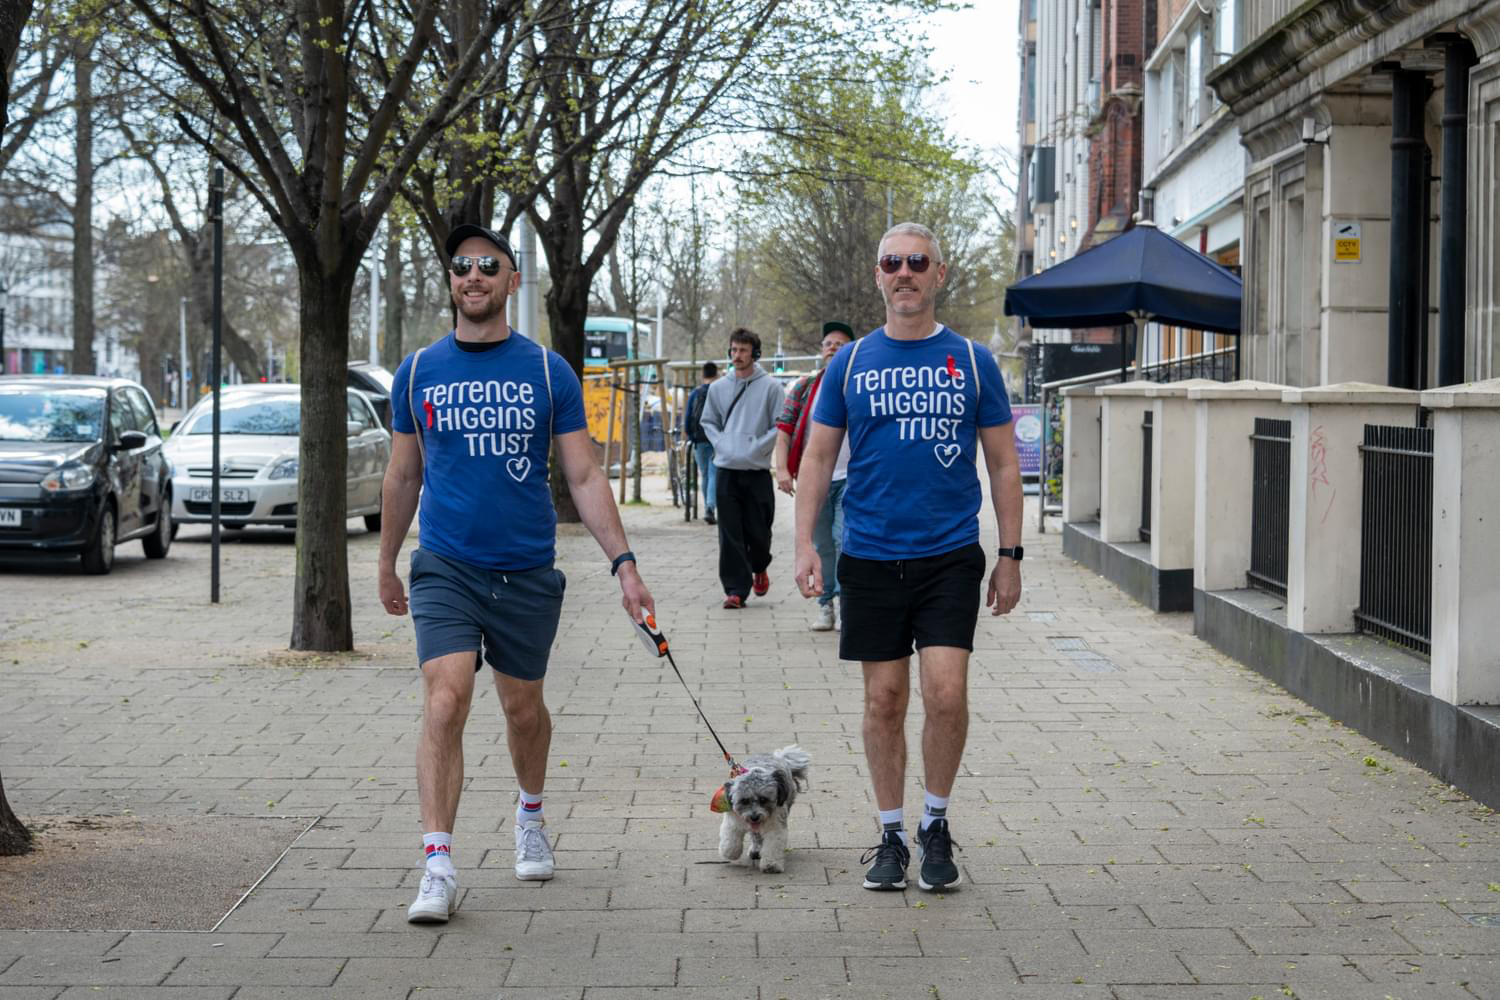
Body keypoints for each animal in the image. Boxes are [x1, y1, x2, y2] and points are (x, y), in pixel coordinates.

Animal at [714, 743, 810, 875]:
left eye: (763, 800)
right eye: (744, 800)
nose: (754, 817)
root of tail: (779, 756)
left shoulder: (775, 825)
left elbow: (772, 846)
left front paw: (771, 865)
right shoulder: (733, 820)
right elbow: (731, 839)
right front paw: (730, 853)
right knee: (756, 836)